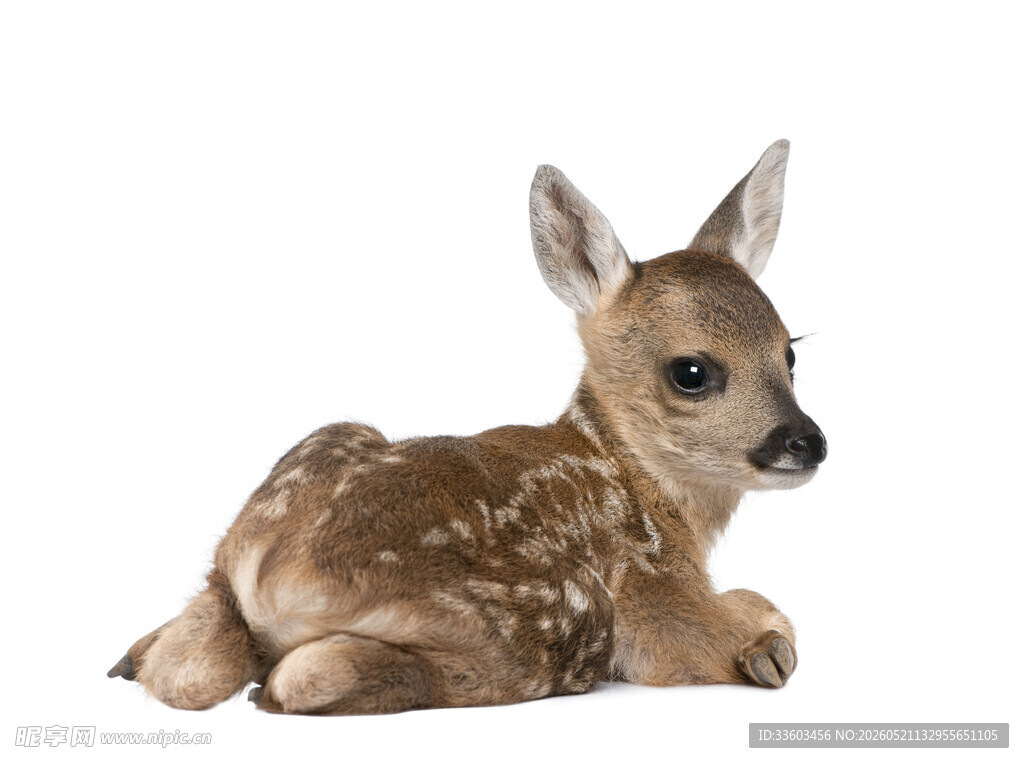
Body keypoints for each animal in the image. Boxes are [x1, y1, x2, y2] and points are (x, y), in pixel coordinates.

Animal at [107, 140, 826, 715]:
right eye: (691, 371)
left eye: (790, 352)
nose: (807, 440)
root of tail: (273, 574)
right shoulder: (653, 598)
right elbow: (755, 618)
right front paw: (768, 651)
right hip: (542, 622)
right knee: (306, 673)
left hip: (314, 456)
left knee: (191, 665)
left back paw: (132, 655)